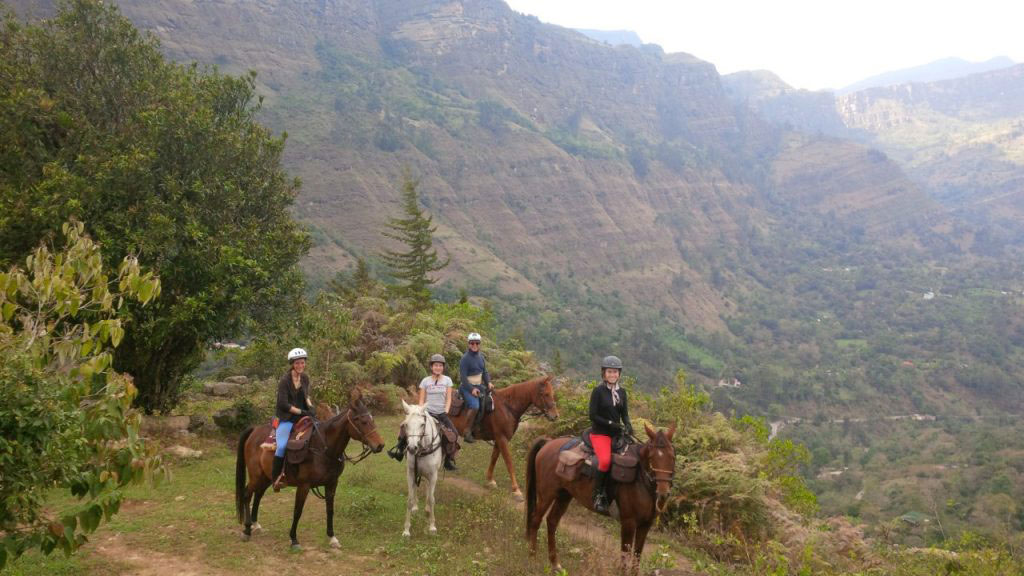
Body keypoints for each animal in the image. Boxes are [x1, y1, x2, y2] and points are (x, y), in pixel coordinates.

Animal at [234, 385, 385, 545]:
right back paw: (247, 529)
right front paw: (294, 539)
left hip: (266, 477)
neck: (323, 449)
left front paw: (332, 537)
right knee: (246, 494)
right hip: (256, 475)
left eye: (372, 419)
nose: (380, 445)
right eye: (362, 421)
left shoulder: (332, 483)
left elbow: (330, 509)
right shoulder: (304, 485)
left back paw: (256, 524)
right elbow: (297, 511)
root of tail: (254, 430)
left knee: (258, 495)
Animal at [401, 399, 442, 532]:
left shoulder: (433, 475)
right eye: (406, 424)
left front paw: (432, 526)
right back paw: (415, 507)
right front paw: (406, 529)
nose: (412, 448)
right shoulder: (410, 473)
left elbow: (431, 499)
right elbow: (409, 498)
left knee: (429, 489)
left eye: (422, 424)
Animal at [524, 422, 675, 569]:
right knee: (536, 519)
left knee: (552, 521)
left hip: (564, 496)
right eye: (651, 457)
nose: (663, 493)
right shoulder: (628, 523)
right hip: (546, 494)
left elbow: (636, 560)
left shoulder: (645, 525)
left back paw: (555, 563)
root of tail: (549, 442)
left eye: (672, 457)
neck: (640, 478)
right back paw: (532, 558)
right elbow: (624, 559)